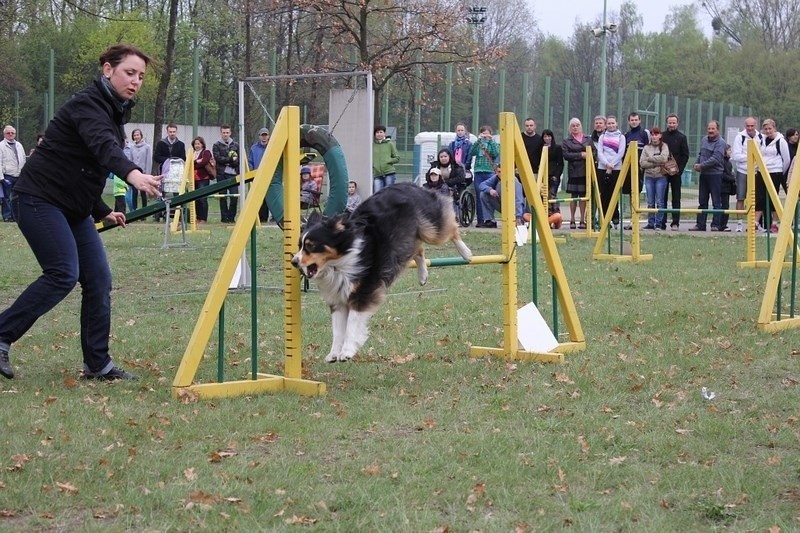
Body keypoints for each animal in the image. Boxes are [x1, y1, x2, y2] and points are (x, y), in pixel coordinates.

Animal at [290, 183, 472, 362]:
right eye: (300, 245)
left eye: (311, 246)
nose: (294, 262)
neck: (339, 262)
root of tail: (409, 184)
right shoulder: (337, 299)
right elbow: (337, 329)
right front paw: (333, 353)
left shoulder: (362, 293)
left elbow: (351, 325)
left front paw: (347, 352)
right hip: (408, 236)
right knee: (418, 250)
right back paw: (422, 276)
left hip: (431, 229)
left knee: (451, 228)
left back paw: (466, 253)